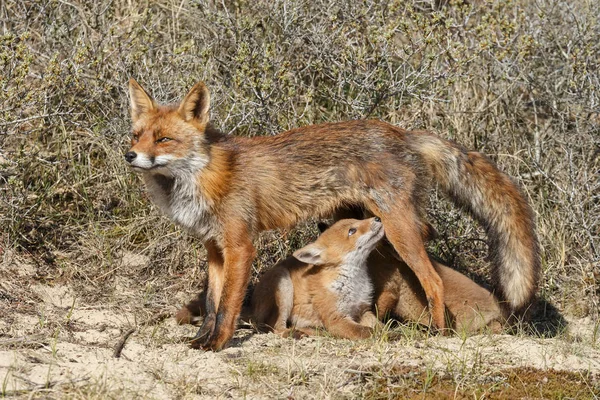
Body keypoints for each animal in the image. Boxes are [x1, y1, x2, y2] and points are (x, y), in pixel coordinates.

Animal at [125, 79, 540, 348]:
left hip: (397, 228)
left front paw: (218, 344)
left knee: (433, 280)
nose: (130, 155)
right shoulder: (214, 248)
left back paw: (439, 334)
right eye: (136, 135)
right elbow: (212, 305)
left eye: (164, 140)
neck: (202, 178)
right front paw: (199, 341)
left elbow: (227, 306)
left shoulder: (241, 245)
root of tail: (403, 133)